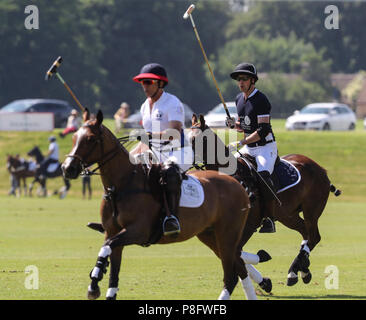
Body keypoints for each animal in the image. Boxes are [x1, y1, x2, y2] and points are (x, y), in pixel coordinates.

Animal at [61, 110, 258, 300]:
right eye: (74, 137)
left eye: (90, 139)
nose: (67, 168)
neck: (122, 185)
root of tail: (237, 183)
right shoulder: (112, 231)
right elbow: (112, 271)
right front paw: (98, 282)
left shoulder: (138, 231)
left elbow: (107, 247)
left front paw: (93, 285)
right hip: (209, 235)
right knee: (239, 267)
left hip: (227, 235)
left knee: (231, 276)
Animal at [190, 114, 342, 286]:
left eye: (197, 139)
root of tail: (321, 169)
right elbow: (229, 253)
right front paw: (263, 279)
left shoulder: (249, 225)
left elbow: (236, 251)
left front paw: (263, 277)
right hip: (287, 215)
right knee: (306, 233)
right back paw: (302, 270)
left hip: (311, 210)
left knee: (314, 236)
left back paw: (294, 271)